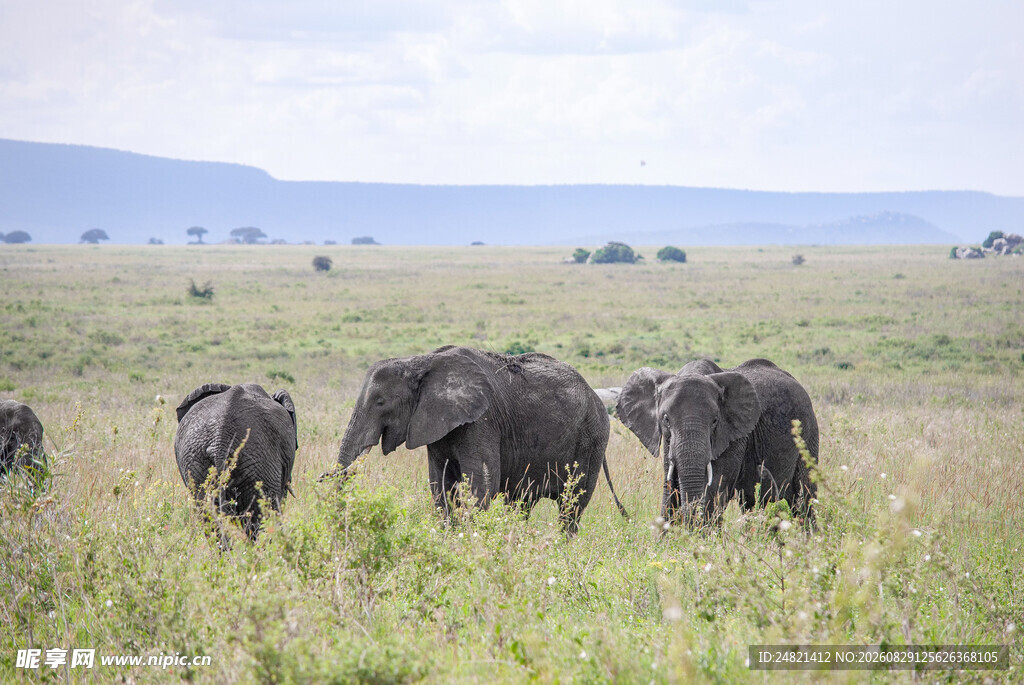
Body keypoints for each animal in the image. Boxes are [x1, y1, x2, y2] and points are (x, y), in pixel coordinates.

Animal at [332, 345, 627, 535]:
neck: (420, 362)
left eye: (380, 402)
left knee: (571, 505)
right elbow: (440, 485)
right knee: (522, 503)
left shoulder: (481, 421)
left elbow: (481, 485)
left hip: (592, 439)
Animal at [616, 358, 818, 525]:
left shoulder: (734, 435)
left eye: (714, 420)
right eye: (665, 419)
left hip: (808, 433)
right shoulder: (667, 441)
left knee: (804, 496)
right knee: (750, 502)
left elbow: (715, 486)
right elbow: (670, 485)